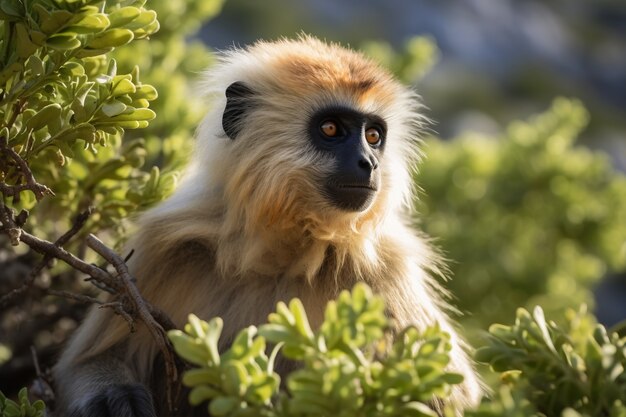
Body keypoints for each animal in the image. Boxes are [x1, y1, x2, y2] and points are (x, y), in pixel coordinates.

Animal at [53, 36, 480, 416]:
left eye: (373, 136)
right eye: (331, 129)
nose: (369, 163)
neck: (282, 255)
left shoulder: (390, 267)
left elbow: (447, 395)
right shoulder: (161, 245)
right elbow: (85, 364)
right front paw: (116, 396)